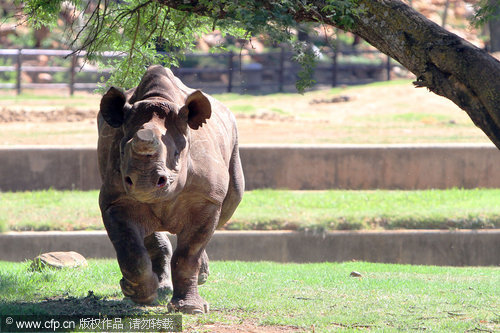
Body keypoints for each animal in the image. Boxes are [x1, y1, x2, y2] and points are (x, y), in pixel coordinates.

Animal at [97, 64, 244, 312]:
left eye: (177, 154)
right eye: (122, 151)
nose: (144, 183)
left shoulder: (207, 199)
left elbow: (188, 255)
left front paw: (190, 309)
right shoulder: (115, 200)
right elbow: (131, 252)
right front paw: (139, 295)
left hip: (233, 140)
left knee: (229, 205)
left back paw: (201, 276)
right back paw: (156, 288)